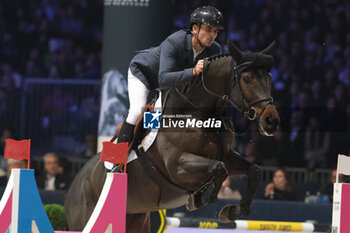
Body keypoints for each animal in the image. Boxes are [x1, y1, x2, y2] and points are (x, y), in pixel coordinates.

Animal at [65, 41, 278, 232]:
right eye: (247, 79)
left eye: (268, 78)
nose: (271, 121)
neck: (197, 114)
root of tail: (76, 181)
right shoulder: (177, 166)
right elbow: (219, 169)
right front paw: (200, 199)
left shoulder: (225, 155)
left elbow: (254, 170)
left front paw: (232, 211)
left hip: (135, 219)